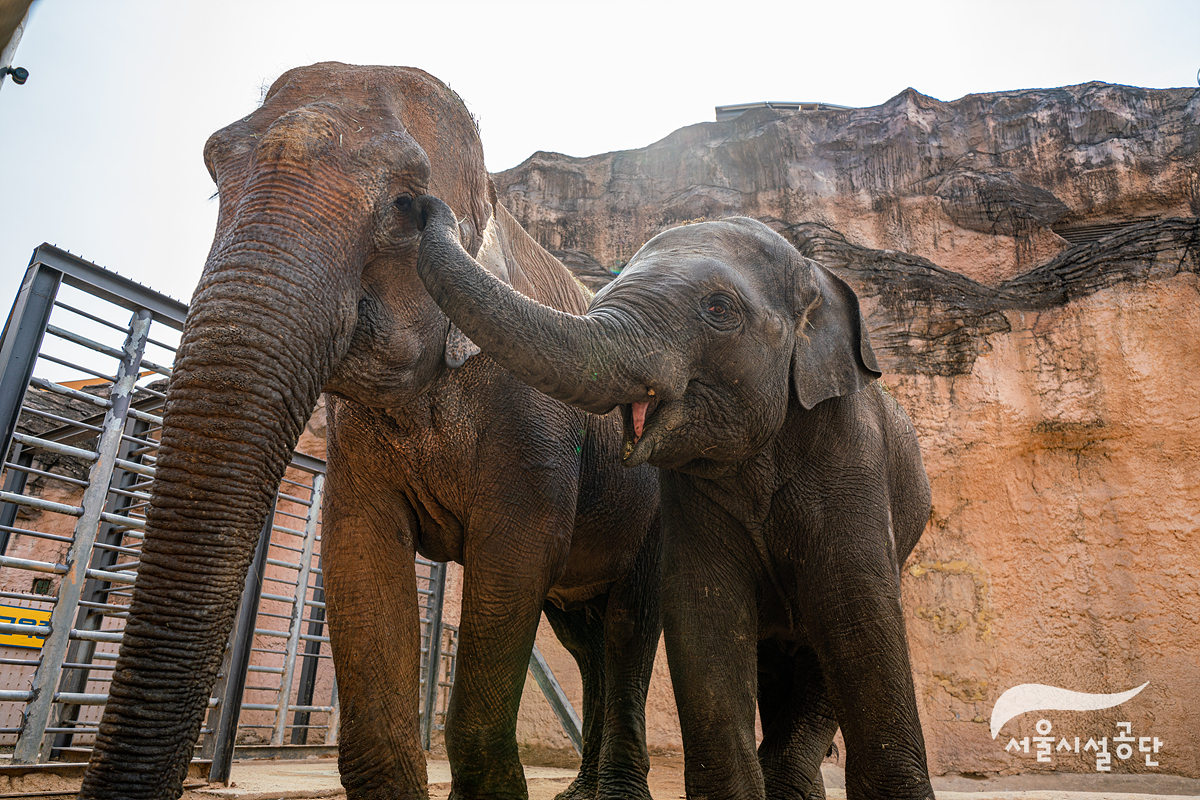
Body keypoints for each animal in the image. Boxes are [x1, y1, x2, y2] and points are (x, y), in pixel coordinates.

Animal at [82, 64, 667, 800]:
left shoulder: (537, 421)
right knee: (582, 639)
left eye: (404, 202)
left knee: (627, 629)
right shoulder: (356, 444)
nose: (430, 212)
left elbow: (517, 556)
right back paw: (580, 791)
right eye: (216, 176)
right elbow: (359, 553)